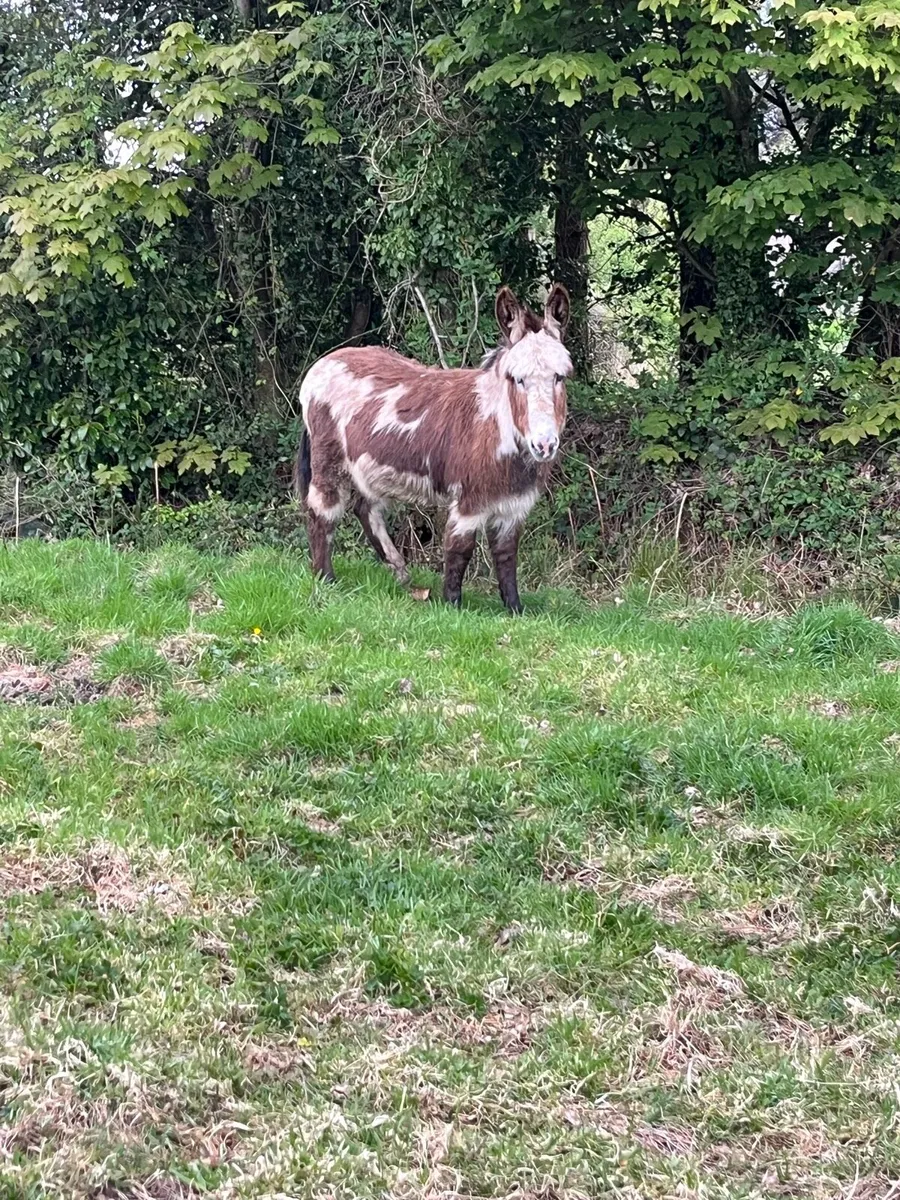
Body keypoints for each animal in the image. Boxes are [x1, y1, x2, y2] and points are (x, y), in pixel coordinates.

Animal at [295, 282, 572, 613]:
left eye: (559, 377)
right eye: (517, 380)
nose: (544, 445)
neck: (497, 426)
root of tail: (326, 361)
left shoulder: (513, 505)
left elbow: (506, 556)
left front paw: (515, 610)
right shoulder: (469, 501)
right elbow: (459, 548)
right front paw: (452, 606)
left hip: (368, 466)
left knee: (365, 509)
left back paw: (399, 571)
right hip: (329, 459)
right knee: (322, 510)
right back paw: (325, 579)